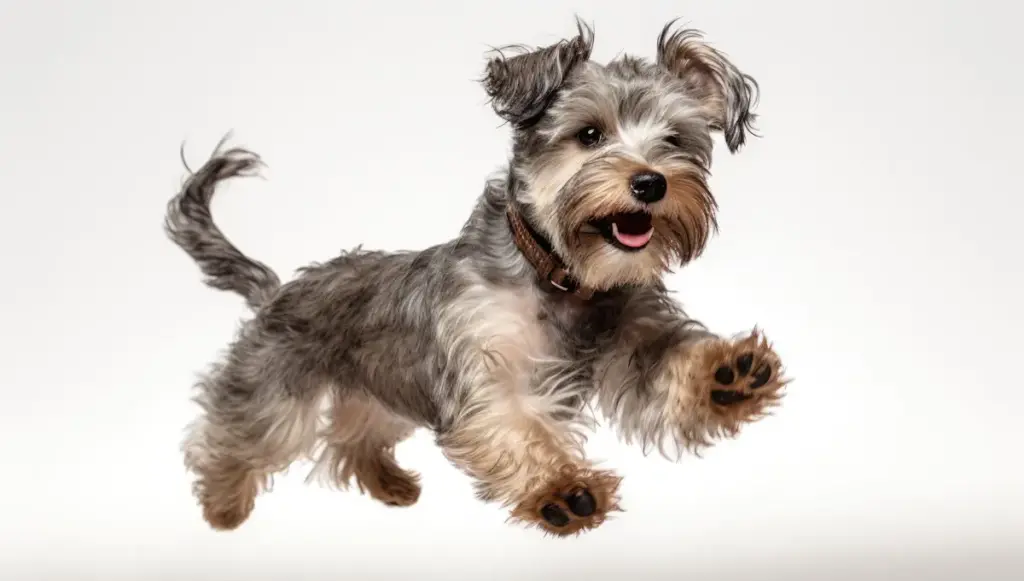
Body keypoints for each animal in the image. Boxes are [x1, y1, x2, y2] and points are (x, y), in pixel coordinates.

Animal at [165, 19, 790, 536]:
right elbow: (515, 425)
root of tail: (277, 289)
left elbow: (668, 368)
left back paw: (388, 483)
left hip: (380, 390)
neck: (562, 277)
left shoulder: (635, 340)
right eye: (589, 135)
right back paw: (222, 506)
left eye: (676, 141)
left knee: (352, 435)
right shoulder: (486, 367)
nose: (651, 182)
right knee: (235, 435)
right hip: (276, 391)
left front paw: (729, 374)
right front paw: (563, 490)